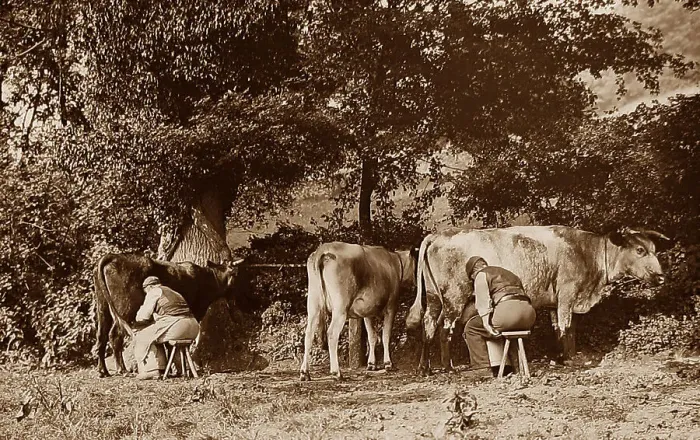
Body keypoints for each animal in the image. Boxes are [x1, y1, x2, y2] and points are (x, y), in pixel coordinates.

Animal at [93, 253, 242, 377]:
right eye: (235, 275)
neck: (207, 280)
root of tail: (112, 256)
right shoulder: (195, 311)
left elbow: (169, 344)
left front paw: (171, 370)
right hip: (124, 308)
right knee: (115, 335)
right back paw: (122, 369)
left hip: (102, 306)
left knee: (101, 336)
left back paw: (103, 371)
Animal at [299, 242, 417, 381]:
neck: (396, 264)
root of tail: (323, 249)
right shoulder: (391, 306)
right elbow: (385, 336)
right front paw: (388, 364)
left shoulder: (367, 311)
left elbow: (372, 336)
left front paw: (371, 364)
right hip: (340, 307)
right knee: (332, 333)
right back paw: (336, 373)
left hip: (313, 304)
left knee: (309, 334)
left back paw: (305, 373)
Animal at [405, 226, 670, 375]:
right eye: (639, 250)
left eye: (654, 249)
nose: (660, 276)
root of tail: (440, 234)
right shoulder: (567, 293)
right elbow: (566, 326)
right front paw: (568, 359)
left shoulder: (556, 300)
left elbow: (562, 328)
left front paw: (564, 356)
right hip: (454, 296)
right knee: (444, 330)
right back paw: (448, 367)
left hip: (434, 297)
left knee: (428, 326)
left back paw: (424, 369)